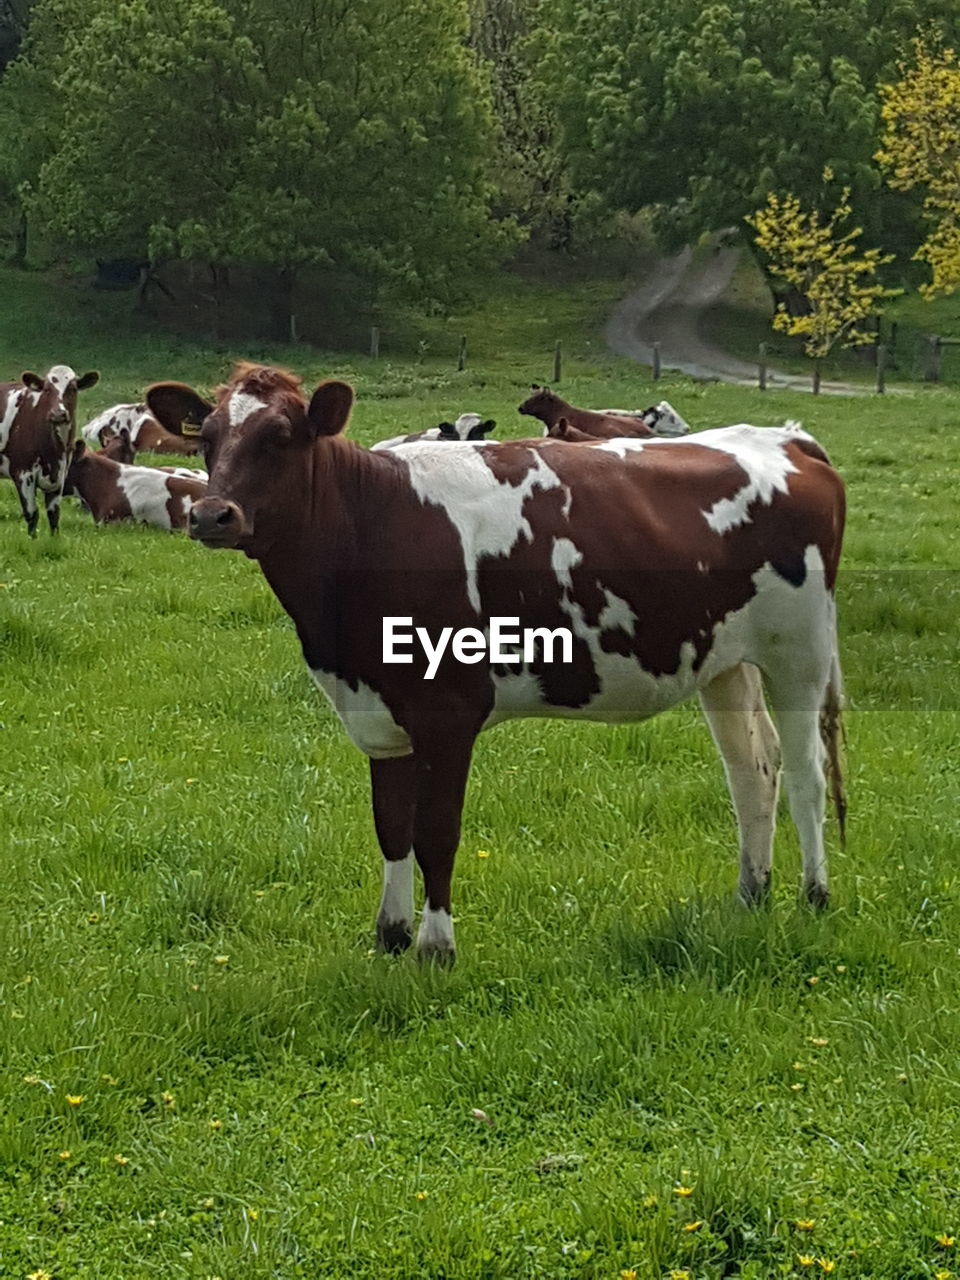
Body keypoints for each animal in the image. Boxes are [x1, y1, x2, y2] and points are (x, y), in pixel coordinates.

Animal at [0, 366, 100, 535]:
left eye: (73, 388)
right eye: (47, 389)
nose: (58, 413)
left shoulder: (60, 475)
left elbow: (54, 515)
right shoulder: (22, 473)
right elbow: (32, 514)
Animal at [150, 360, 849, 962]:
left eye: (281, 436)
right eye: (207, 437)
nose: (211, 514)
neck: (373, 528)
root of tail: (786, 438)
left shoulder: (448, 712)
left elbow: (436, 831)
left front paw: (436, 948)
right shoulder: (378, 712)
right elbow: (391, 827)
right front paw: (390, 936)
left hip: (800, 651)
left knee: (807, 773)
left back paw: (815, 897)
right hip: (725, 661)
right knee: (753, 770)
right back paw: (750, 895)